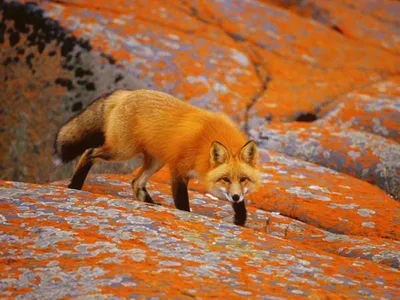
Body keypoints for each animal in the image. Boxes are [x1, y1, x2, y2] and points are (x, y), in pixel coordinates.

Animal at [54, 89, 260, 225]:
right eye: (225, 179)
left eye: (243, 179)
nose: (235, 196)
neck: (205, 143)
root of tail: (126, 93)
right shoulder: (178, 169)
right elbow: (182, 202)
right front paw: (185, 215)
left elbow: (242, 205)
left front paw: (240, 219)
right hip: (122, 151)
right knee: (89, 153)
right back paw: (75, 185)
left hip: (156, 160)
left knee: (136, 182)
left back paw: (151, 205)